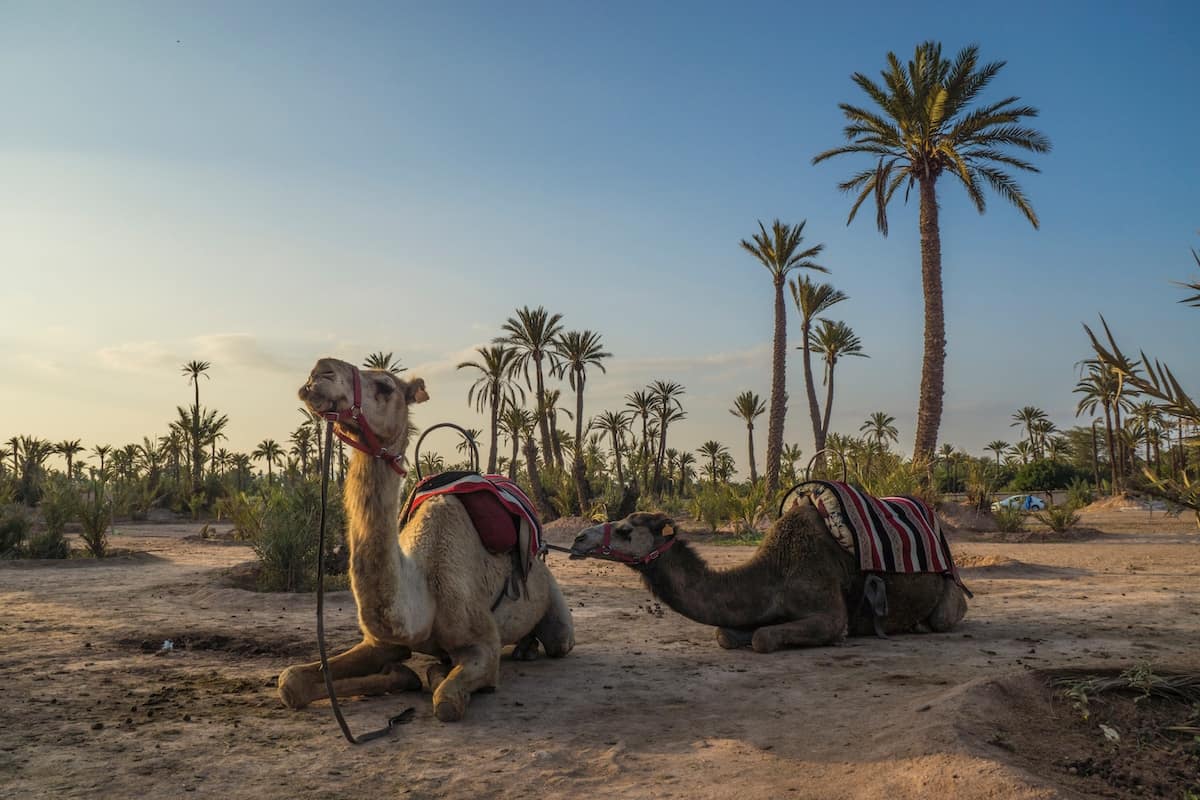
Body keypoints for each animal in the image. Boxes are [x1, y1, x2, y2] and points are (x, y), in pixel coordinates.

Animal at [277, 358, 574, 721]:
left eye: (385, 386)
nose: (319, 372)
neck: (423, 592)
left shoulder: (483, 643)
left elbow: (445, 700)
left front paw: (432, 672)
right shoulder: (379, 643)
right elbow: (291, 681)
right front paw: (399, 674)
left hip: (555, 610)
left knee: (558, 639)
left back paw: (527, 648)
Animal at [569, 501, 967, 653]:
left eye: (625, 530)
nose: (578, 538)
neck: (773, 573)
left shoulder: (829, 612)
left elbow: (762, 639)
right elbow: (726, 634)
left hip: (949, 600)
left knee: (943, 617)